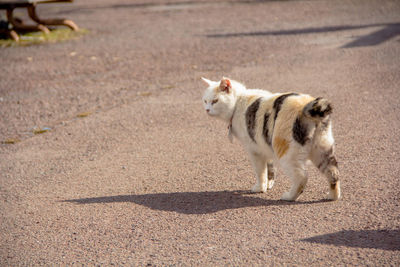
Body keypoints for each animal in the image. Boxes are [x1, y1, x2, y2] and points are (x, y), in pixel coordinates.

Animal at [202, 77, 340, 201]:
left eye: (215, 101)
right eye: (205, 101)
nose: (207, 110)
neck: (238, 103)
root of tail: (307, 106)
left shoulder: (254, 151)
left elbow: (260, 172)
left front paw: (260, 188)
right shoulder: (264, 146)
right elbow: (270, 169)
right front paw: (268, 185)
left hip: (286, 153)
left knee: (302, 176)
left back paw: (289, 197)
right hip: (322, 150)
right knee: (333, 172)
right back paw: (332, 196)